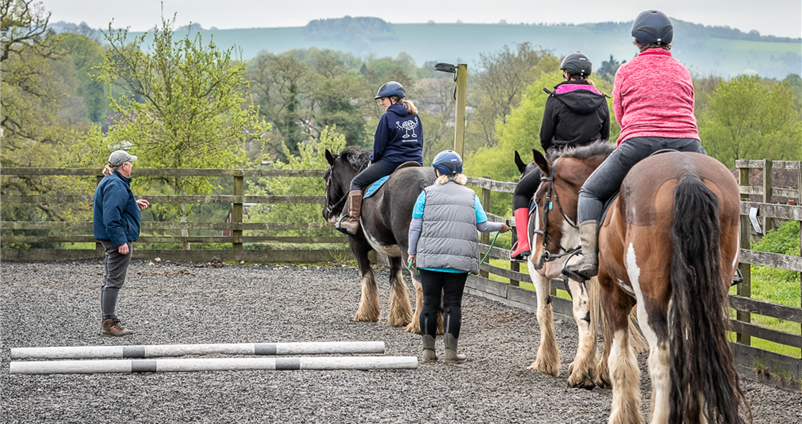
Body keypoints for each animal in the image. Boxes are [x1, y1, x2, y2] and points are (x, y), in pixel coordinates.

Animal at [322, 147, 440, 332]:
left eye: (327, 177)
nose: (326, 212)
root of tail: (426, 184)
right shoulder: (392, 249)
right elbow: (395, 278)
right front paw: (400, 316)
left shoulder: (356, 244)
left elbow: (366, 274)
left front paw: (365, 314)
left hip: (409, 249)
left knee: (420, 282)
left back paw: (419, 326)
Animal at [524, 142, 752, 424]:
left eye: (539, 199)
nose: (537, 257)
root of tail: (688, 175)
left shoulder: (613, 291)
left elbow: (618, 355)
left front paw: (622, 411)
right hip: (706, 298)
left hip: (649, 299)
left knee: (661, 358)